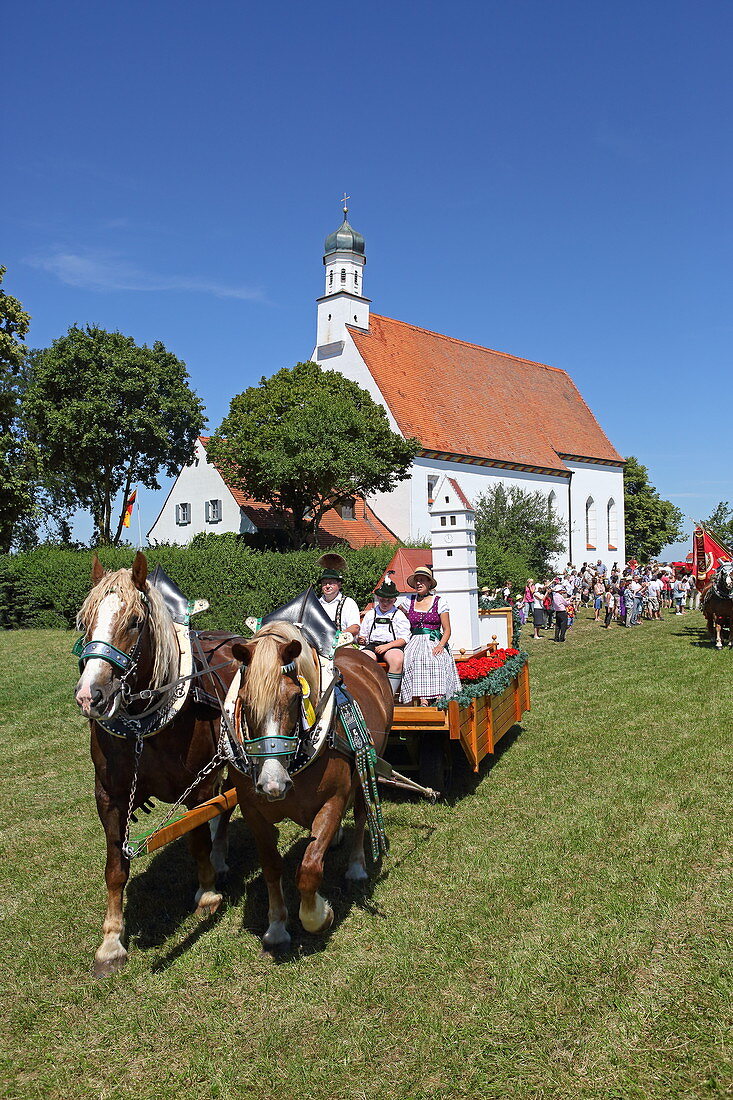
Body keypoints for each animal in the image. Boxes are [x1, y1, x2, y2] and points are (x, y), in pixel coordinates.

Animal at [72, 554, 236, 976]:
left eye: (134, 621)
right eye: (85, 619)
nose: (91, 696)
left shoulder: (198, 785)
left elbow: (197, 838)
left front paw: (207, 894)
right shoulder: (108, 795)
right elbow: (115, 866)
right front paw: (111, 942)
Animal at [228, 624, 391, 950]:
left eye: (295, 698)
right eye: (245, 700)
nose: (272, 783)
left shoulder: (333, 800)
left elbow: (309, 868)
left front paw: (318, 916)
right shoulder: (253, 812)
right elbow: (271, 867)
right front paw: (277, 926)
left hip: (366, 769)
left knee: (361, 816)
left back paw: (356, 867)